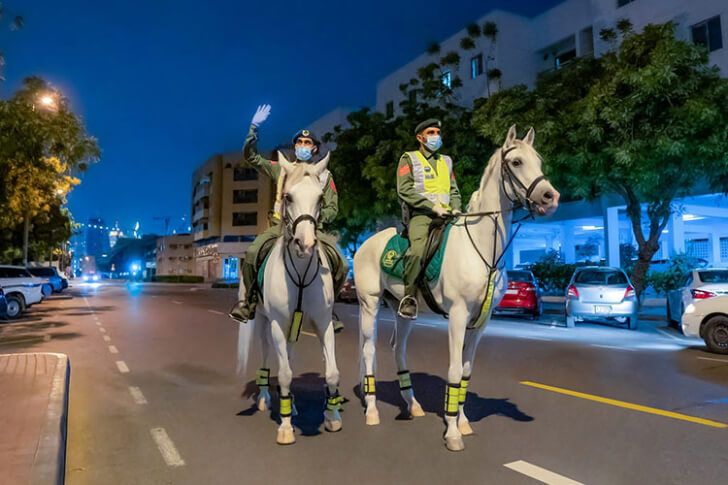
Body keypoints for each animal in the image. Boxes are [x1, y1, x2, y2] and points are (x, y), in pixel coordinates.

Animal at [237, 151, 342, 442]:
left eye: (320, 199)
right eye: (288, 197)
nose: (305, 245)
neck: (302, 270)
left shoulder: (323, 323)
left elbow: (332, 373)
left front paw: (332, 417)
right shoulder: (276, 323)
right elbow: (283, 374)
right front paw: (285, 427)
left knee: (291, 357)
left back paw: (292, 404)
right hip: (265, 323)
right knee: (266, 357)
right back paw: (265, 399)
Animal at [356, 125, 560, 450]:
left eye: (538, 161)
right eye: (516, 162)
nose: (550, 196)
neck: (483, 249)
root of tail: (365, 244)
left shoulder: (480, 322)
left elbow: (465, 372)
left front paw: (462, 422)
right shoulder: (457, 315)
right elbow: (452, 370)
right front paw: (451, 432)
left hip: (402, 311)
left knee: (398, 349)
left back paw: (412, 404)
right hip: (369, 303)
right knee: (368, 350)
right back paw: (373, 410)